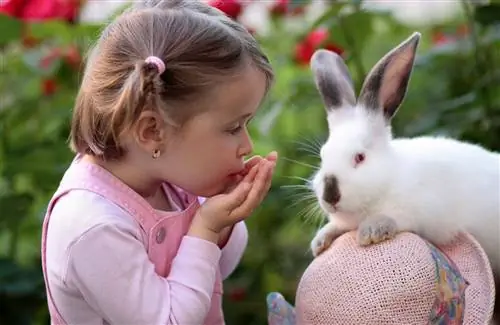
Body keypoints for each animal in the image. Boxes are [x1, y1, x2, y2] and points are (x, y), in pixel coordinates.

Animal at [308, 31, 500, 284]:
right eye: (322, 156)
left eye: (360, 157)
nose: (330, 195)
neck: (388, 177)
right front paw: (319, 242)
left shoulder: (423, 212)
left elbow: (397, 218)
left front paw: (372, 231)